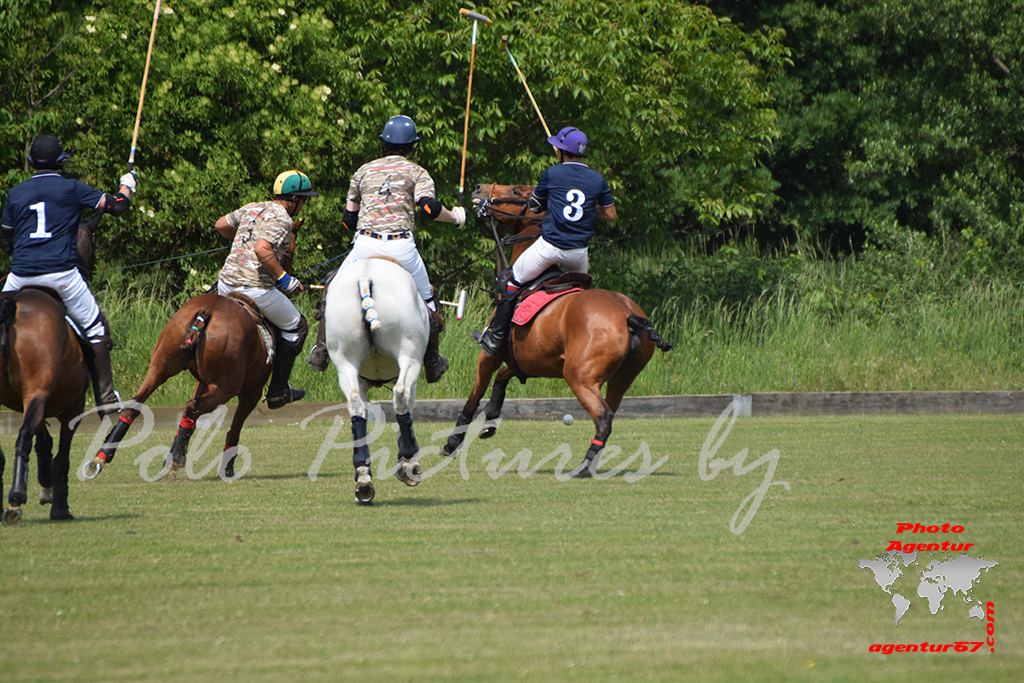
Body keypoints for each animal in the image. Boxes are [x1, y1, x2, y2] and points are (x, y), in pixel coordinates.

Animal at [84, 291, 275, 481]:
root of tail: (204, 315)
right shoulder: (251, 392)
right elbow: (234, 429)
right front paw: (227, 469)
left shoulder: (203, 383)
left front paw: (166, 461)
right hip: (225, 386)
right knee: (191, 407)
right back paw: (176, 463)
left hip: (159, 367)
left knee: (136, 405)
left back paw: (100, 458)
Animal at [324, 256, 429, 505]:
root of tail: (365, 277)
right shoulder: (412, 372)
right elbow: (407, 408)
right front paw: (406, 463)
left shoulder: (361, 381)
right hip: (410, 355)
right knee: (400, 394)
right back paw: (409, 462)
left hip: (345, 363)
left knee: (355, 405)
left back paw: (363, 481)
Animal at [441, 183, 673, 477]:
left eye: (515, 191)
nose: (479, 189)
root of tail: (629, 315)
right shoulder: (530, 358)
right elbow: (504, 377)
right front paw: (490, 419)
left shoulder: (490, 355)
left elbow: (474, 396)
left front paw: (452, 442)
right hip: (623, 378)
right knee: (611, 411)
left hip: (579, 375)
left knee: (603, 416)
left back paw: (583, 467)